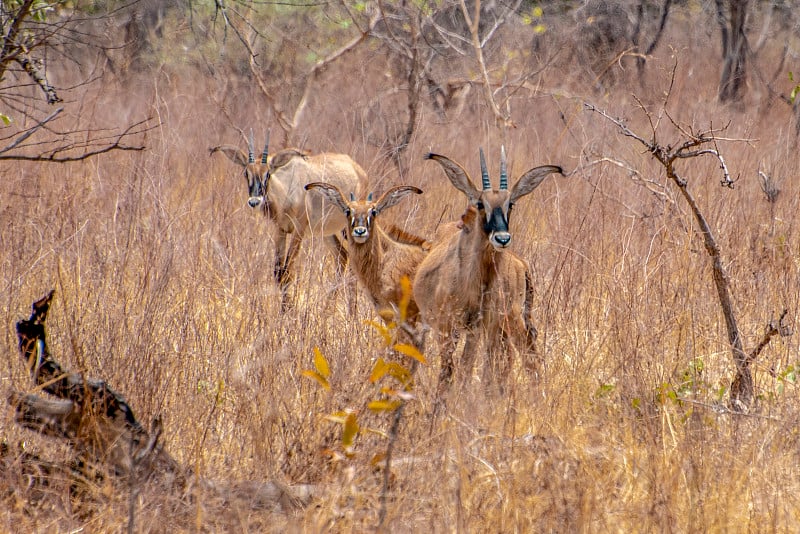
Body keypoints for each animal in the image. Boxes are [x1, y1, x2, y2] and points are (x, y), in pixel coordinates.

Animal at [209, 132, 366, 310]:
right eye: (246, 173)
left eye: (268, 174)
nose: (255, 201)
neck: (286, 190)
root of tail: (358, 169)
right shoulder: (281, 230)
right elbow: (278, 272)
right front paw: (285, 309)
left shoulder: (299, 230)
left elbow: (287, 270)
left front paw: (288, 311)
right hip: (327, 232)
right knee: (342, 257)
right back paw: (330, 308)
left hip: (349, 228)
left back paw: (349, 310)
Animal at [412, 147, 564, 402]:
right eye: (481, 204)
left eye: (510, 204)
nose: (502, 238)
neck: (476, 282)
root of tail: (521, 264)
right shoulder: (450, 326)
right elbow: (451, 369)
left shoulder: (478, 326)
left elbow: (466, 368)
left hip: (507, 321)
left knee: (519, 357)